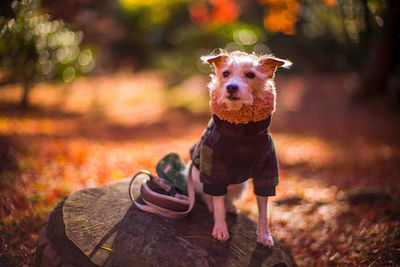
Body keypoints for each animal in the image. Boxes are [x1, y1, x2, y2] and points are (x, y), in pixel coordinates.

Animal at [191, 50, 290, 249]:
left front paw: (265, 235)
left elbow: (263, 210)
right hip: (196, 176)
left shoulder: (266, 172)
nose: (231, 87)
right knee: (210, 196)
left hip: (240, 185)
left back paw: (230, 206)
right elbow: (217, 204)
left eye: (250, 75)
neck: (242, 133)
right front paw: (220, 229)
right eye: (225, 73)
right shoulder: (214, 169)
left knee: (227, 198)